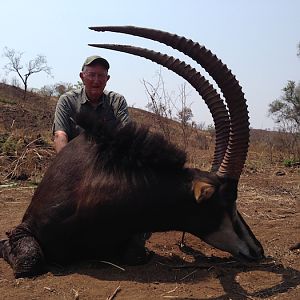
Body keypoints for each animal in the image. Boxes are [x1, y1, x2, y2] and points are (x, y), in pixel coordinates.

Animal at [0, 27, 264, 278]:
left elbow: (135, 254)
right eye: (227, 200)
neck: (89, 191)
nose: (257, 250)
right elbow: (29, 260)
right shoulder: (22, 231)